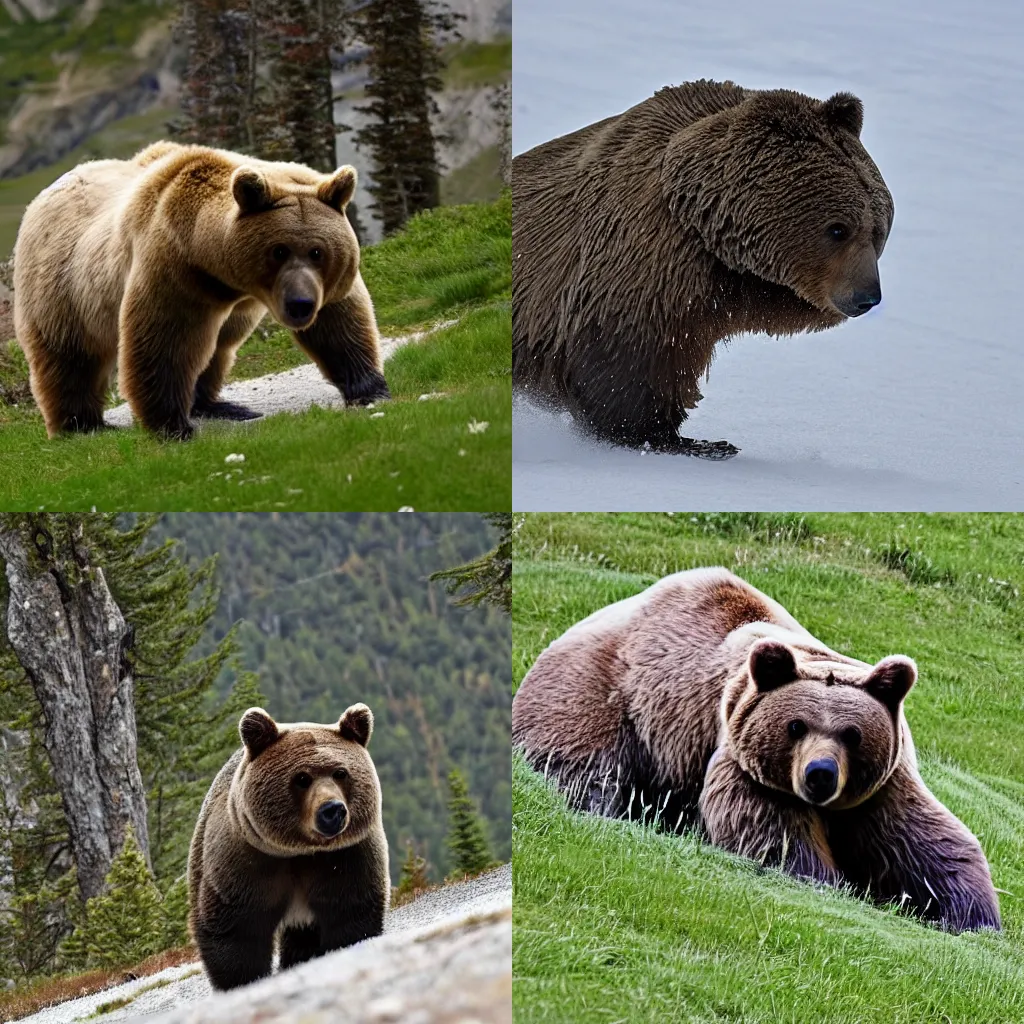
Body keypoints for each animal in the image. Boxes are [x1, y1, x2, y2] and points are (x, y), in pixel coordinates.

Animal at [12, 141, 387, 440]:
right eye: (278, 250)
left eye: (317, 252)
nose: (300, 305)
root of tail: (42, 197)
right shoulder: (174, 270)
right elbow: (163, 341)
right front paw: (171, 426)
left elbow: (338, 321)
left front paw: (370, 389)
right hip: (62, 287)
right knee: (69, 357)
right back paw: (82, 425)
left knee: (217, 347)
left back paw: (220, 405)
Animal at [186, 700, 389, 987]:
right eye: (302, 778)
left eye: (340, 773)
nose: (332, 810)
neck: (300, 851)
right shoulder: (244, 863)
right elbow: (236, 931)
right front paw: (242, 980)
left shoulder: (345, 856)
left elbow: (350, 912)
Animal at [512, 569, 999, 937]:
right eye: (795, 725)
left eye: (853, 734)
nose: (819, 774)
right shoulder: (744, 764)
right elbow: (777, 837)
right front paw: (824, 883)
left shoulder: (879, 788)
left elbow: (928, 845)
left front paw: (972, 917)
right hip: (595, 697)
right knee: (583, 767)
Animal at [516, 81, 892, 458]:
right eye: (838, 229)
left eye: (878, 231)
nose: (867, 296)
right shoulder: (643, 258)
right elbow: (631, 352)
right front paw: (675, 438)